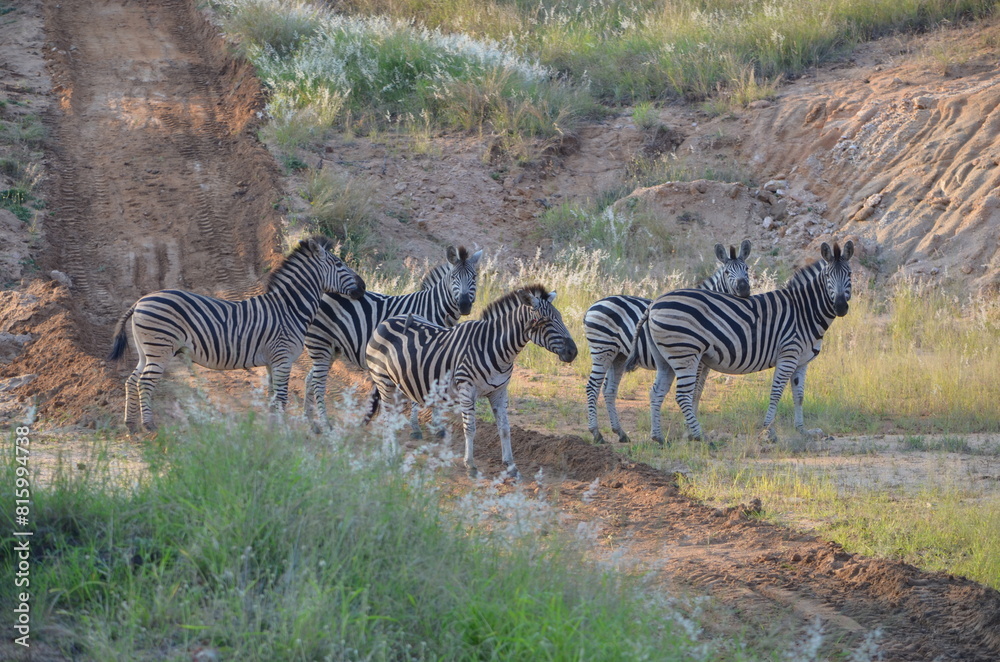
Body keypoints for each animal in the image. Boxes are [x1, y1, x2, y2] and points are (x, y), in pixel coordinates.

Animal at [107, 236, 366, 432]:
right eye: (339, 264)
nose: (363, 287)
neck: (289, 308)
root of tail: (140, 301)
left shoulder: (272, 362)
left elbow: (272, 399)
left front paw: (272, 432)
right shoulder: (282, 360)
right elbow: (282, 399)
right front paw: (283, 433)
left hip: (146, 351)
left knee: (132, 380)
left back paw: (130, 424)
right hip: (159, 349)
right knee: (145, 382)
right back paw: (148, 425)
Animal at [302, 245, 483, 429]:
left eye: (474, 277)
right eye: (454, 278)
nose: (464, 305)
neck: (433, 309)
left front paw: (436, 425)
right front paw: (415, 425)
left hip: (332, 348)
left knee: (311, 379)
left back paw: (310, 421)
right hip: (320, 342)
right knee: (318, 383)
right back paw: (324, 423)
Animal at [364, 285, 578, 478]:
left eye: (560, 317)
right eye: (545, 320)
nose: (573, 352)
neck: (496, 348)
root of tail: (387, 320)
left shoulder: (500, 391)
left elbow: (505, 429)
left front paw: (511, 466)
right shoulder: (467, 390)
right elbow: (470, 429)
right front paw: (471, 465)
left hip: (400, 384)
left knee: (393, 417)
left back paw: (394, 451)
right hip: (384, 381)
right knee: (387, 417)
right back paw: (389, 455)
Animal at [584, 240, 752, 444]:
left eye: (747, 268)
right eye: (727, 272)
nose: (744, 289)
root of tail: (594, 304)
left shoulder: (705, 364)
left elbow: (698, 392)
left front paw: (691, 428)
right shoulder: (694, 359)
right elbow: (691, 392)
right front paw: (690, 430)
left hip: (618, 355)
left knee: (609, 390)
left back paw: (621, 433)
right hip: (602, 349)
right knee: (592, 386)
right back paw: (596, 433)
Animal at [626, 241, 853, 444]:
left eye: (850, 275)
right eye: (827, 276)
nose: (841, 306)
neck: (804, 311)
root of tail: (655, 303)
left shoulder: (802, 361)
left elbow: (799, 396)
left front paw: (803, 431)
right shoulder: (788, 355)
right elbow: (776, 392)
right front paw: (768, 431)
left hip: (665, 358)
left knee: (657, 392)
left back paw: (657, 437)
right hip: (685, 354)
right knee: (682, 395)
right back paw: (701, 437)